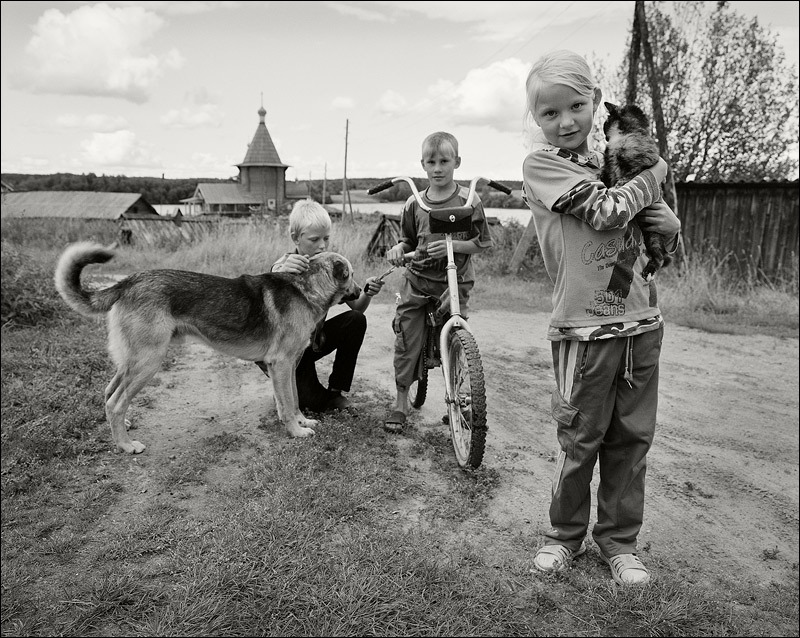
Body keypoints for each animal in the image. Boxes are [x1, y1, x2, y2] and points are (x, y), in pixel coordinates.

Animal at [53, 242, 360, 458]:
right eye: (352, 275)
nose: (361, 291)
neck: (307, 287)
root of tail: (129, 281)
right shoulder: (282, 365)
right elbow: (286, 404)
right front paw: (295, 431)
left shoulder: (290, 367)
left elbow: (293, 400)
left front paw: (302, 421)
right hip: (148, 362)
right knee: (115, 402)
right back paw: (126, 446)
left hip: (132, 362)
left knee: (109, 393)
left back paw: (123, 427)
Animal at [604, 101, 672, 282]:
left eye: (606, 123)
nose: (604, 134)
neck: (626, 135)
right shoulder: (609, 165)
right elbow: (605, 174)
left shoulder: (645, 164)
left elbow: (628, 176)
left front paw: (616, 186)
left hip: (653, 235)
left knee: (660, 258)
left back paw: (649, 272)